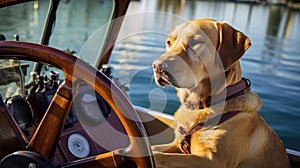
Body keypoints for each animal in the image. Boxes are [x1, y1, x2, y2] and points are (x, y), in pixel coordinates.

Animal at [151, 18, 290, 168]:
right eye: (169, 42)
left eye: (195, 42)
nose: (157, 66)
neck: (203, 106)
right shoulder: (177, 144)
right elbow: (154, 148)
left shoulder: (213, 160)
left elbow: (159, 157)